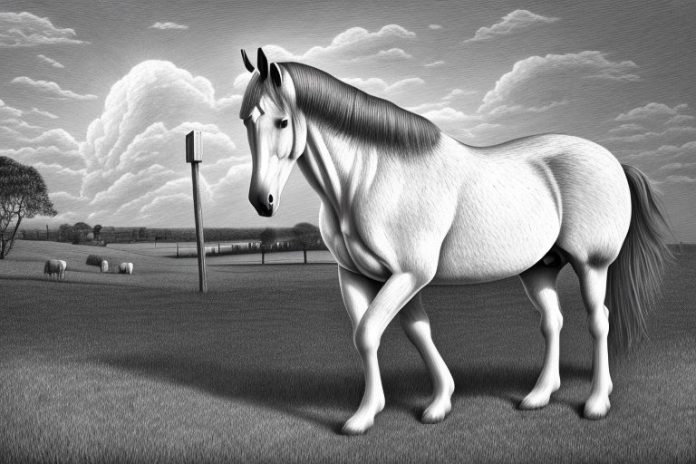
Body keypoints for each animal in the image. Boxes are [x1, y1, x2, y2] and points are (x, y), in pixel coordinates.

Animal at [239, 48, 672, 435]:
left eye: (281, 122)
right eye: (245, 121)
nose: (262, 201)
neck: (368, 180)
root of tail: (614, 161)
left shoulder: (409, 275)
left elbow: (369, 333)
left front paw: (362, 419)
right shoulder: (362, 276)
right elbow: (404, 332)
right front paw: (432, 402)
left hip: (592, 265)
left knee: (599, 322)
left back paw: (597, 402)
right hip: (539, 268)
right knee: (553, 322)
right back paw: (539, 396)